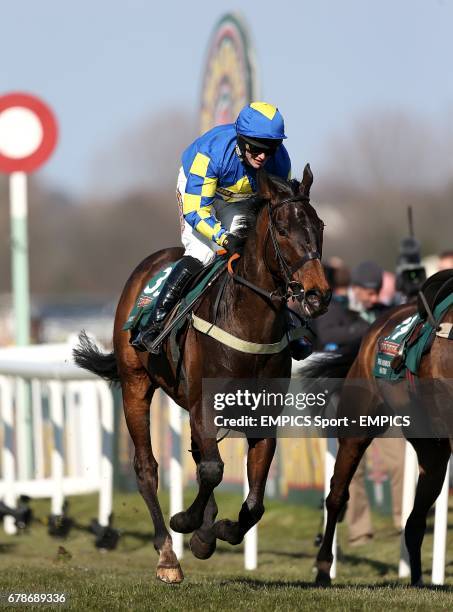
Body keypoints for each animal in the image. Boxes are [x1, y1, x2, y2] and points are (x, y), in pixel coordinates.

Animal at [73, 166, 328, 584]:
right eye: (283, 229)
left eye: (319, 225)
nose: (318, 294)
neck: (247, 323)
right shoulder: (204, 406)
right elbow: (211, 470)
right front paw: (188, 524)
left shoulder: (261, 415)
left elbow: (254, 500)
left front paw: (216, 531)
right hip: (135, 385)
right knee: (147, 468)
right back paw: (167, 556)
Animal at [308, 274, 452, 584]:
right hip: (357, 427)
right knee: (337, 495)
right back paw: (323, 568)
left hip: (431, 448)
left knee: (415, 520)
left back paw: (418, 581)